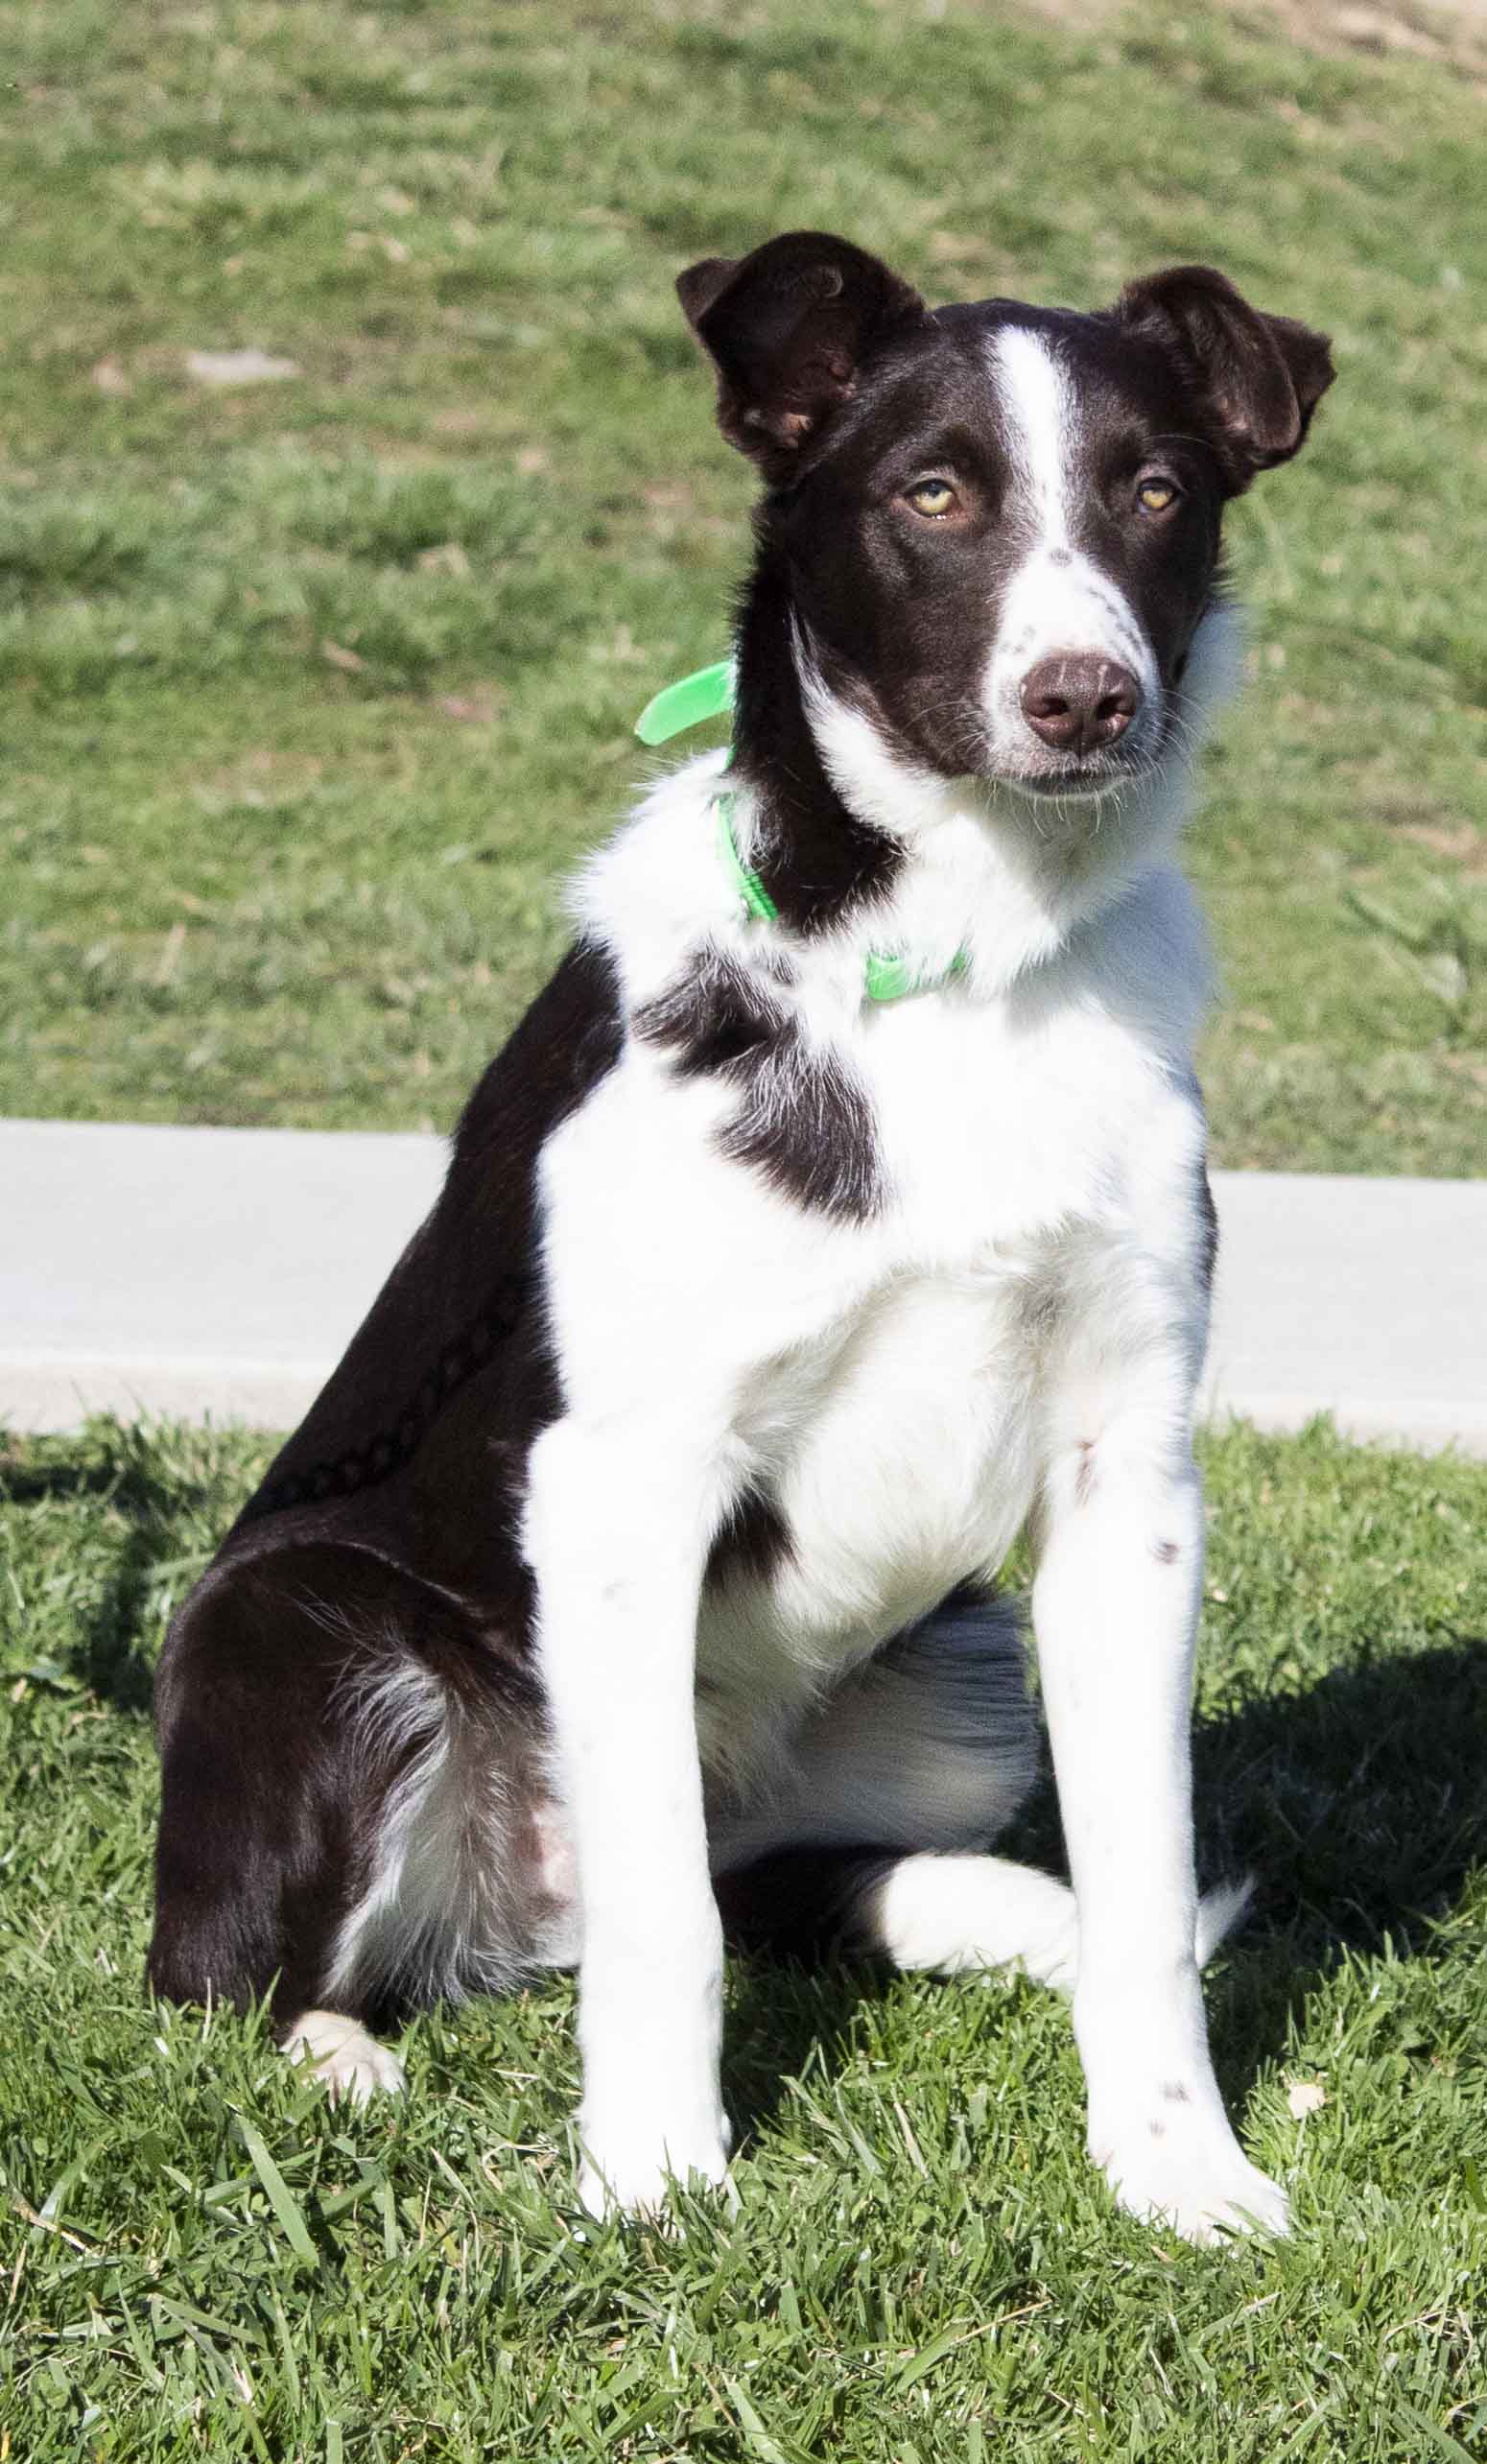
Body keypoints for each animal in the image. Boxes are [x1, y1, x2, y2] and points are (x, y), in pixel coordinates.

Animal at [151, 231, 1339, 2237]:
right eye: (933, 494)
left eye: (1158, 493)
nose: (1086, 697)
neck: (956, 957)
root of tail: (511, 1910)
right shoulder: (627, 1475)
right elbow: (667, 1929)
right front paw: (650, 2179)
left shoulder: (1128, 1487)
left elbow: (1147, 1899)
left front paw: (1181, 2166)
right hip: (307, 1627)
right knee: (242, 1977)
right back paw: (339, 2063)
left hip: (961, 1654)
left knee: (799, 1884)